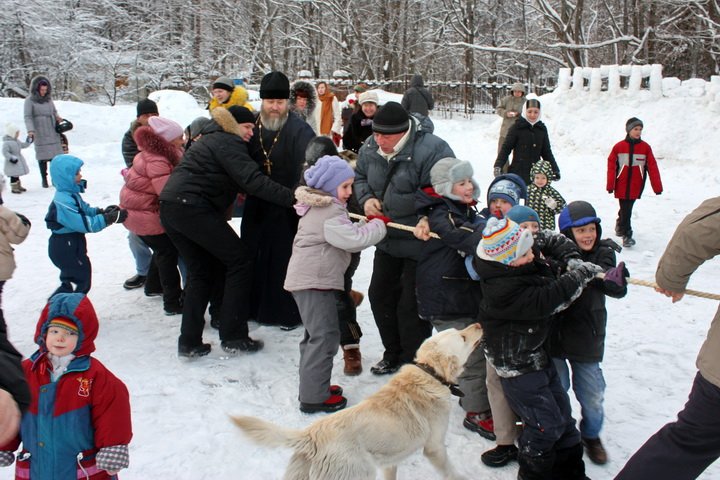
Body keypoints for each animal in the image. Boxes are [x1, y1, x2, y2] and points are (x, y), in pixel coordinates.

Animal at [231, 323, 483, 480]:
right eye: (462, 336)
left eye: (459, 331)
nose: (479, 324)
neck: (429, 374)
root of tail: (311, 436)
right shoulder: (435, 447)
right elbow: (450, 472)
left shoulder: (390, 461)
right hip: (359, 473)